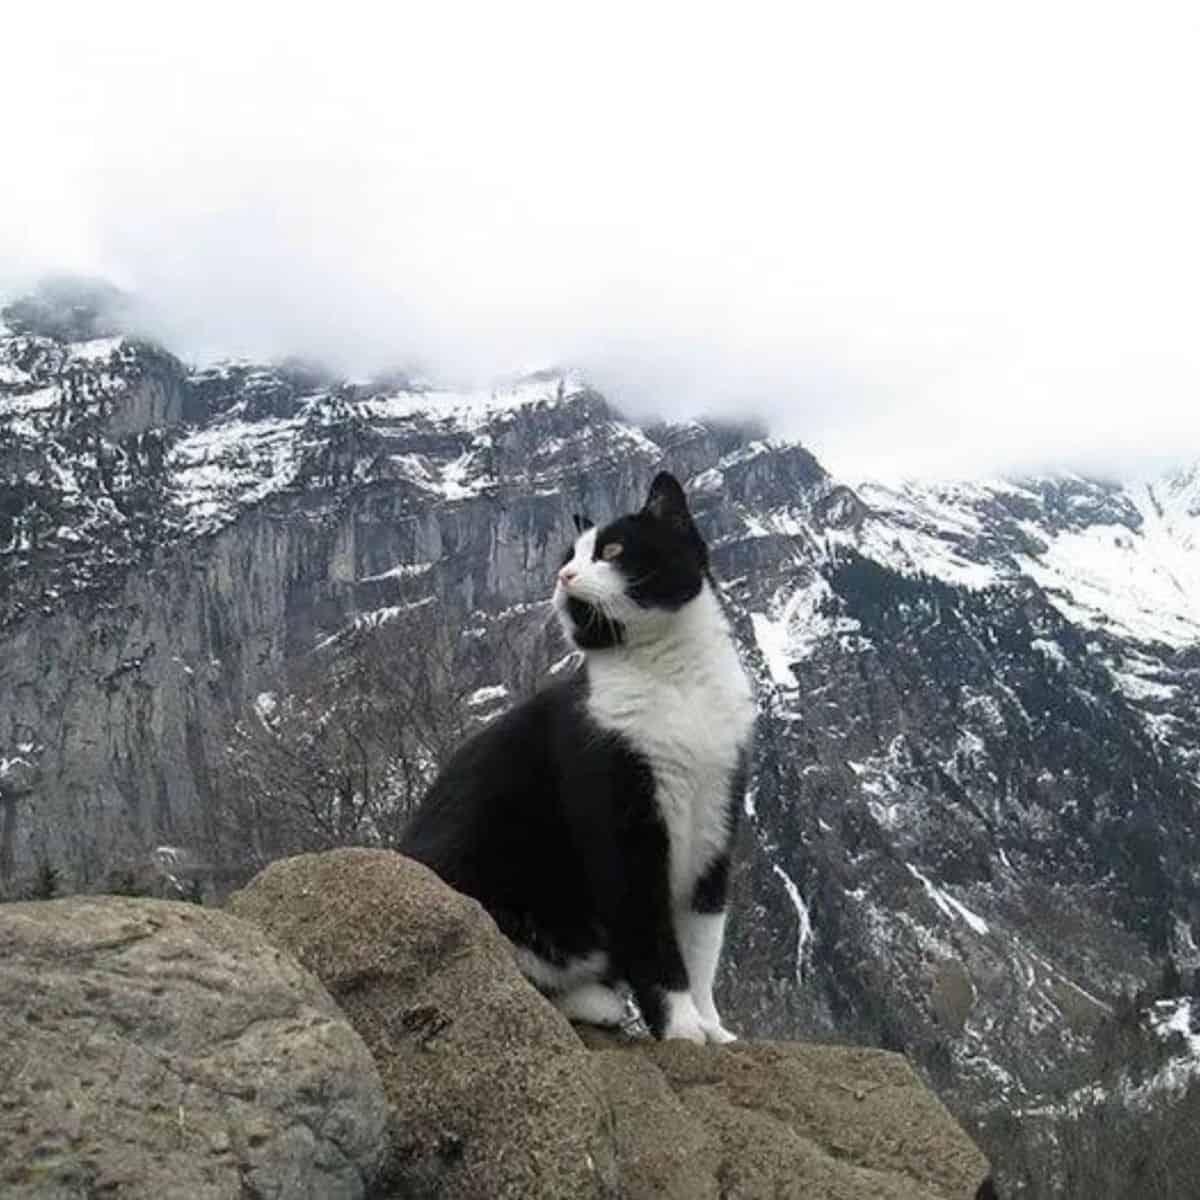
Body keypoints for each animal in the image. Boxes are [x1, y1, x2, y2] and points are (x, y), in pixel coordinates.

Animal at [403, 468, 758, 1041]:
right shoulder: (620, 818)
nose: (564, 574)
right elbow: (652, 937)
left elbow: (703, 940)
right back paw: (594, 1001)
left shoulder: (717, 815)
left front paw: (712, 1027)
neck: (673, 678)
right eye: (568, 554)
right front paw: (682, 1028)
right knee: (496, 970)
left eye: (611, 549)